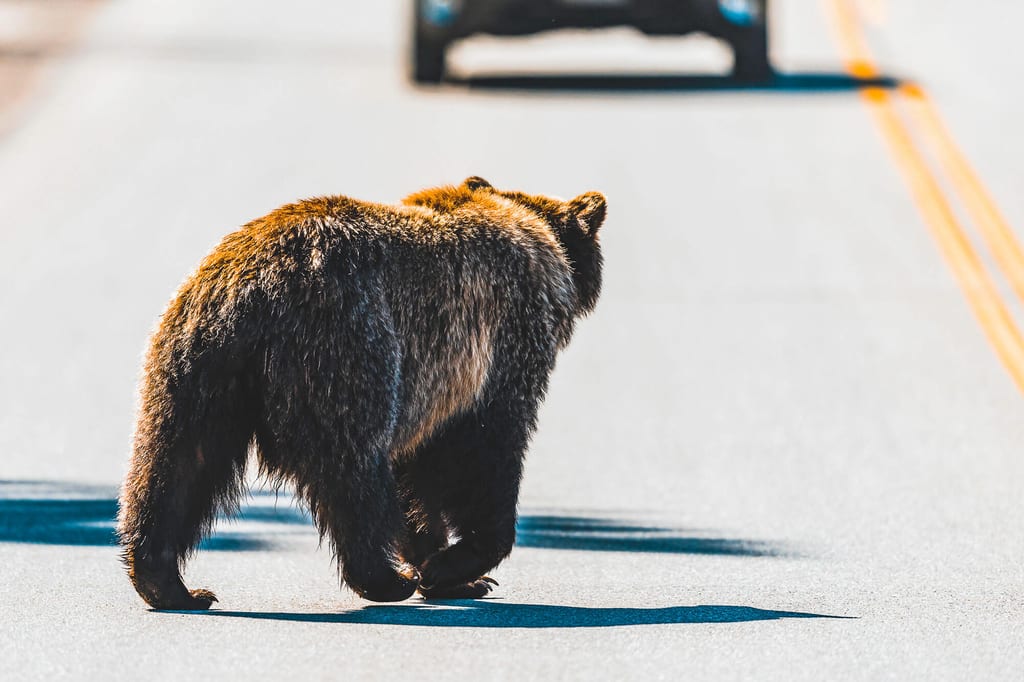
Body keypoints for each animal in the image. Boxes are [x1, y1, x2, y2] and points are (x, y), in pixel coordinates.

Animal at [116, 176, 606, 609]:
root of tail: (253, 291)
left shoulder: (429, 384)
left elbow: (416, 474)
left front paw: (450, 572)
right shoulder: (495, 351)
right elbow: (485, 450)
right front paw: (456, 565)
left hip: (194, 367)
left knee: (174, 466)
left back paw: (168, 583)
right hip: (348, 343)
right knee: (354, 469)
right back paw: (385, 578)